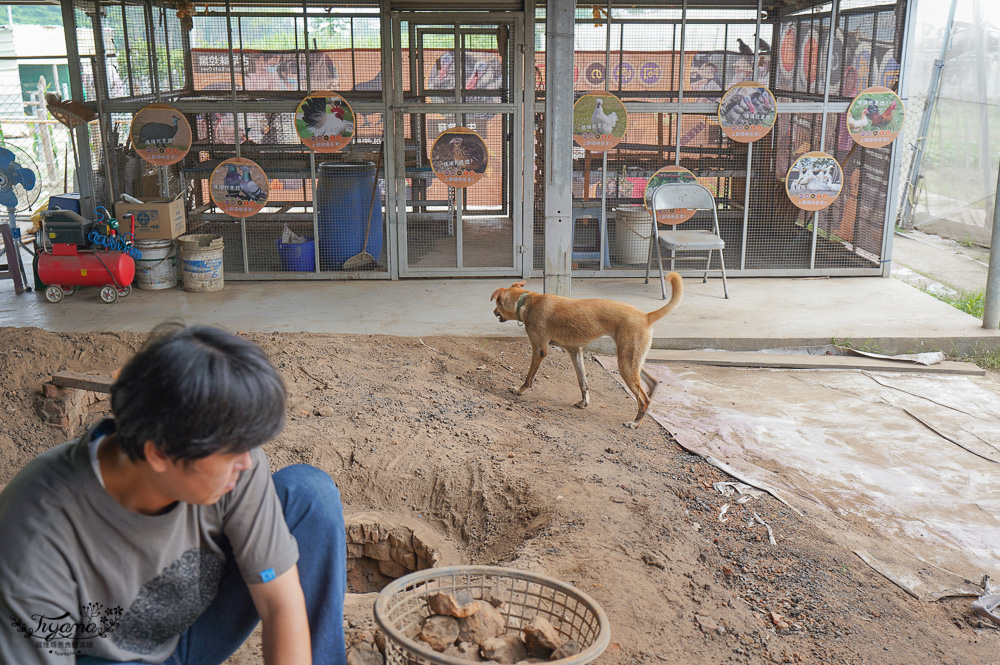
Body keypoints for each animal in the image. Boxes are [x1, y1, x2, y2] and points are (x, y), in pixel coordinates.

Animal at [490, 272, 684, 428]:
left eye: (497, 303)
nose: (493, 312)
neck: (527, 301)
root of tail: (645, 316)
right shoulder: (575, 351)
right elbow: (582, 381)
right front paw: (584, 401)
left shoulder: (539, 350)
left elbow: (529, 376)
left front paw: (520, 390)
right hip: (631, 360)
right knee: (651, 383)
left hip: (625, 364)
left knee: (643, 399)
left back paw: (635, 423)